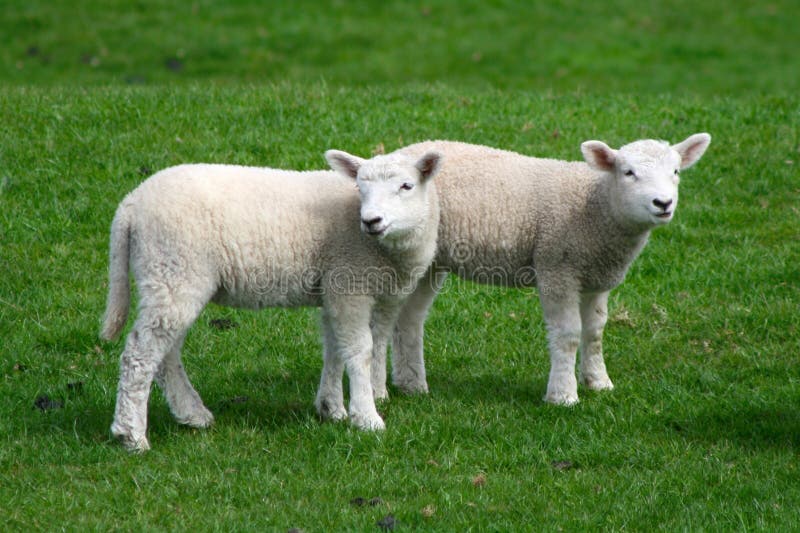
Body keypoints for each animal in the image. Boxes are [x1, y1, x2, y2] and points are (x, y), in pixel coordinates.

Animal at [100, 149, 442, 451]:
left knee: (166, 355)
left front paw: (331, 408)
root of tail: (130, 204)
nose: (371, 221)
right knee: (139, 355)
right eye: (360, 187)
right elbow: (360, 351)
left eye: (406, 186)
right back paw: (131, 435)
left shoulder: (333, 287)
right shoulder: (349, 284)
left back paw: (191, 414)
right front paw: (367, 418)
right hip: (172, 268)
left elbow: (334, 348)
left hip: (173, 280)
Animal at [375, 134, 710, 405]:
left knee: (409, 320)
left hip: (429, 260)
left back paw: (412, 385)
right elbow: (569, 334)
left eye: (676, 172)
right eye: (628, 173)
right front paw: (563, 395)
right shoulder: (557, 268)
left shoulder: (596, 276)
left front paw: (598, 381)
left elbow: (595, 331)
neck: (595, 207)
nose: (663, 203)